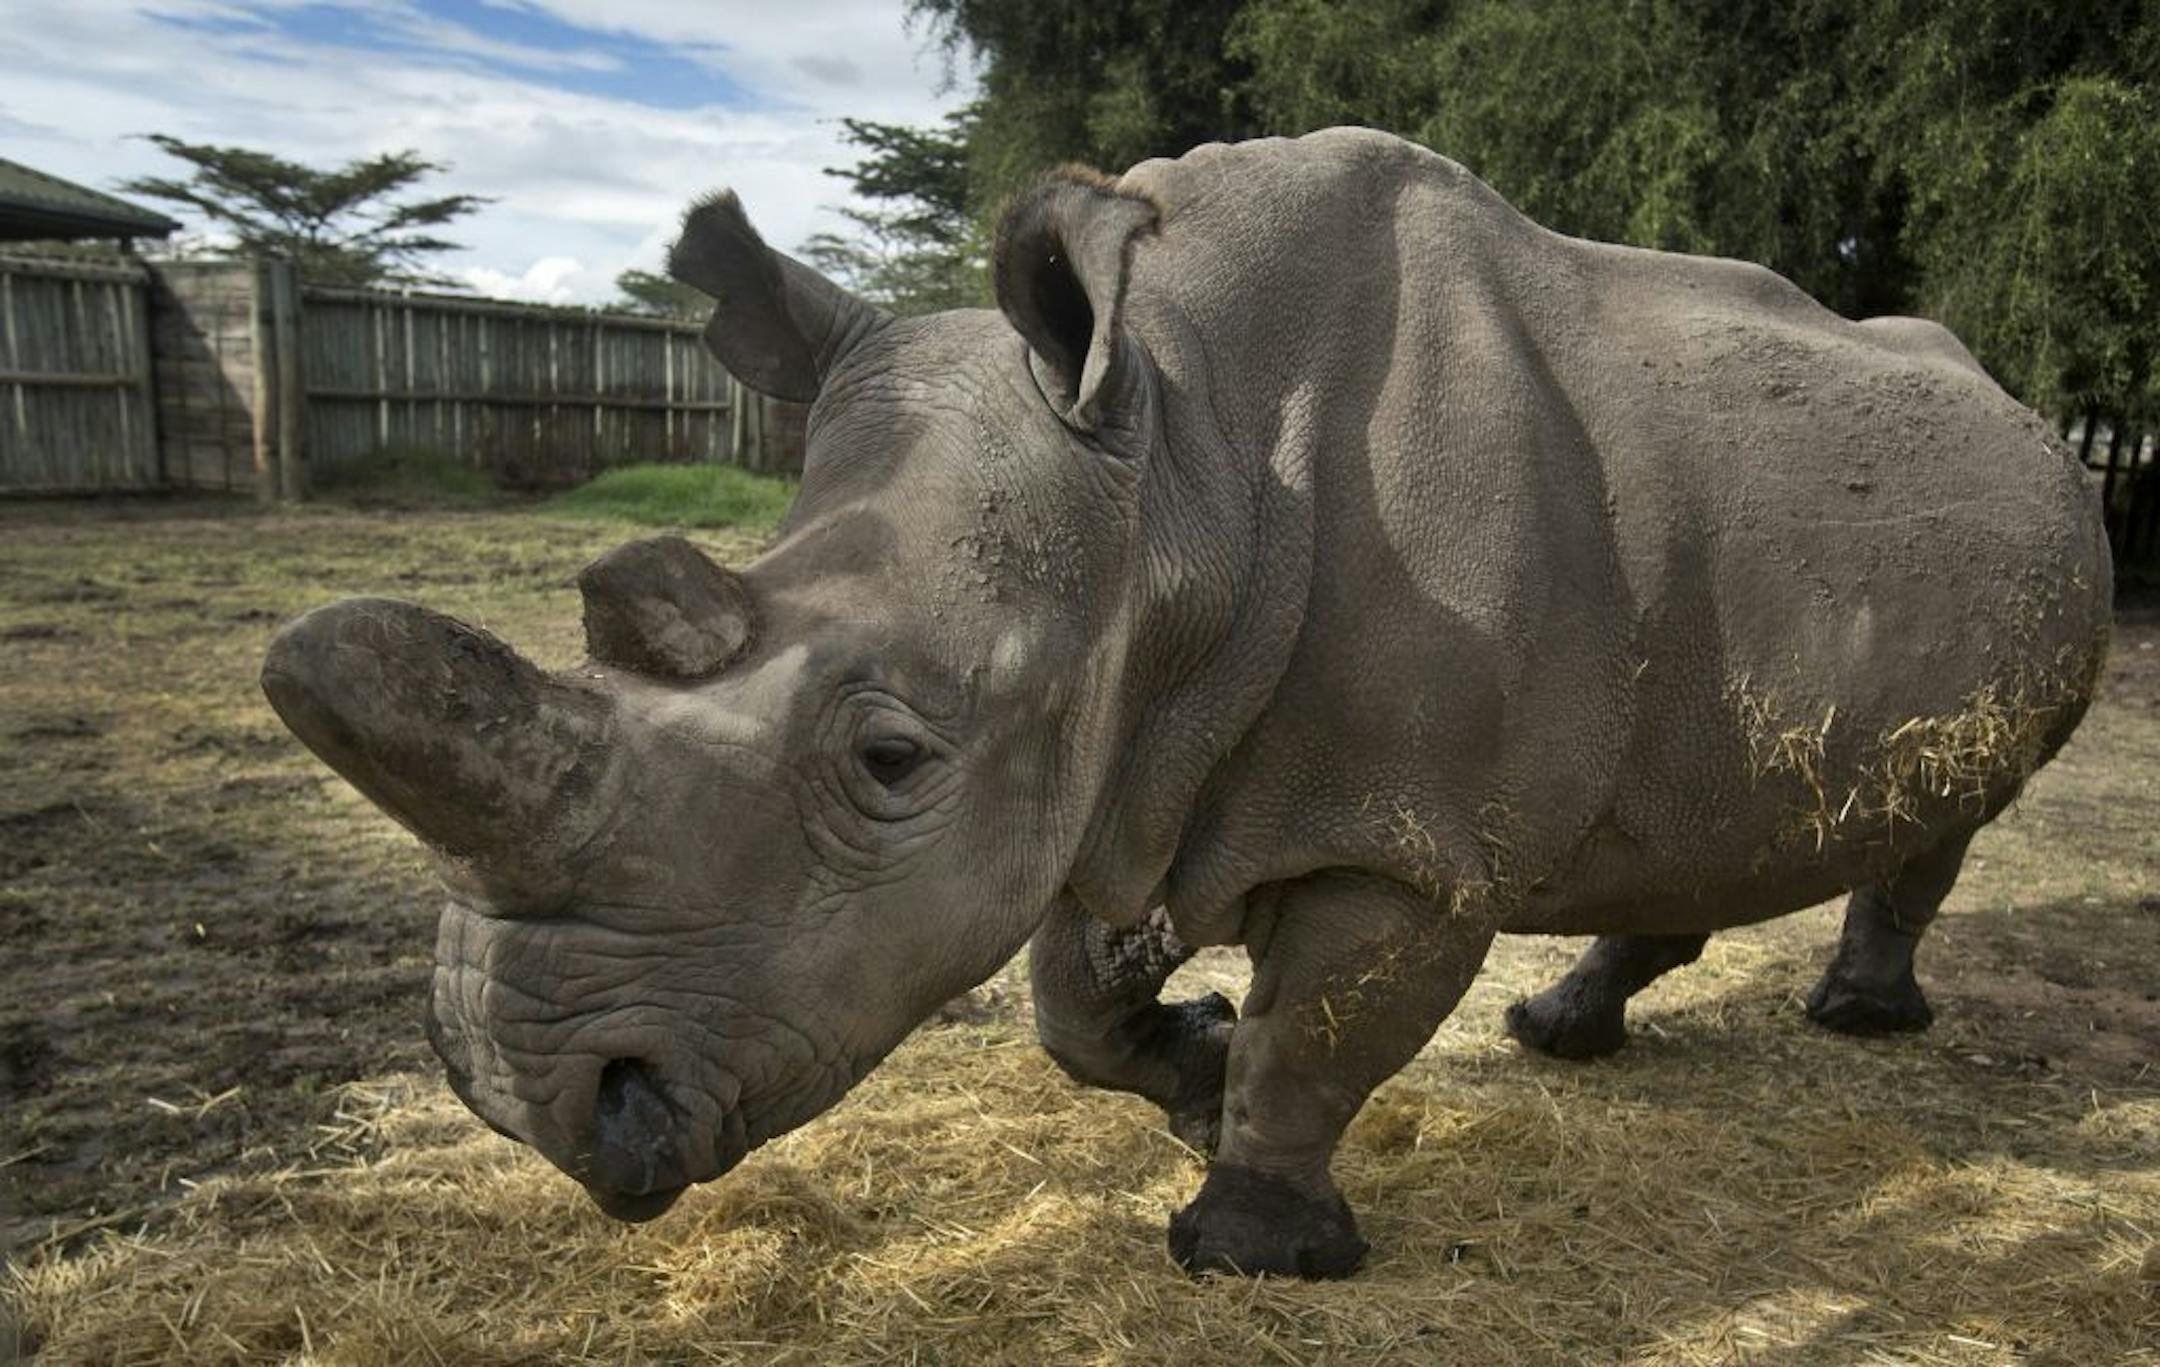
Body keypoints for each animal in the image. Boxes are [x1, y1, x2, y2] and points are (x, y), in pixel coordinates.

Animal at [262, 128, 2111, 1278]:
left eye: (889, 757)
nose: (528, 1097)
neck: (1185, 469)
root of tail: (2027, 409)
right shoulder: (1122, 752)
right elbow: (1072, 1007)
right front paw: (1194, 1071)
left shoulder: (1400, 833)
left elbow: (1326, 1026)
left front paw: (1251, 1243)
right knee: (1675, 818)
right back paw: (1563, 1030)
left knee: (1954, 808)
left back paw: (1856, 1021)